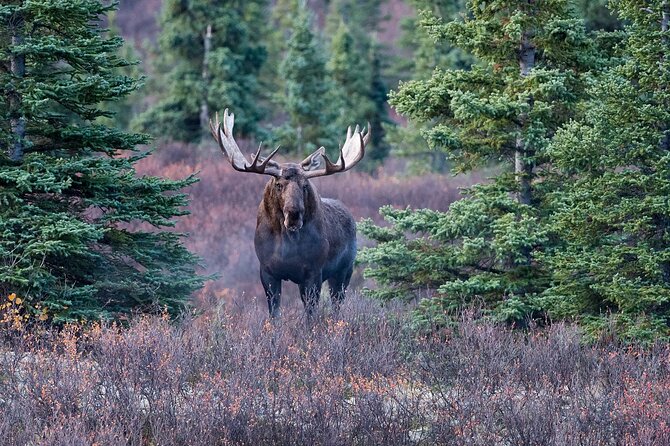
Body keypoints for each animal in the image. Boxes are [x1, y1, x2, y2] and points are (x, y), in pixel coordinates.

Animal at [209, 109, 370, 318]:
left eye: (305, 185)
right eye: (279, 184)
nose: (294, 215)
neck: (287, 244)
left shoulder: (313, 271)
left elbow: (310, 314)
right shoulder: (267, 271)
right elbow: (274, 313)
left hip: (344, 270)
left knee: (337, 304)